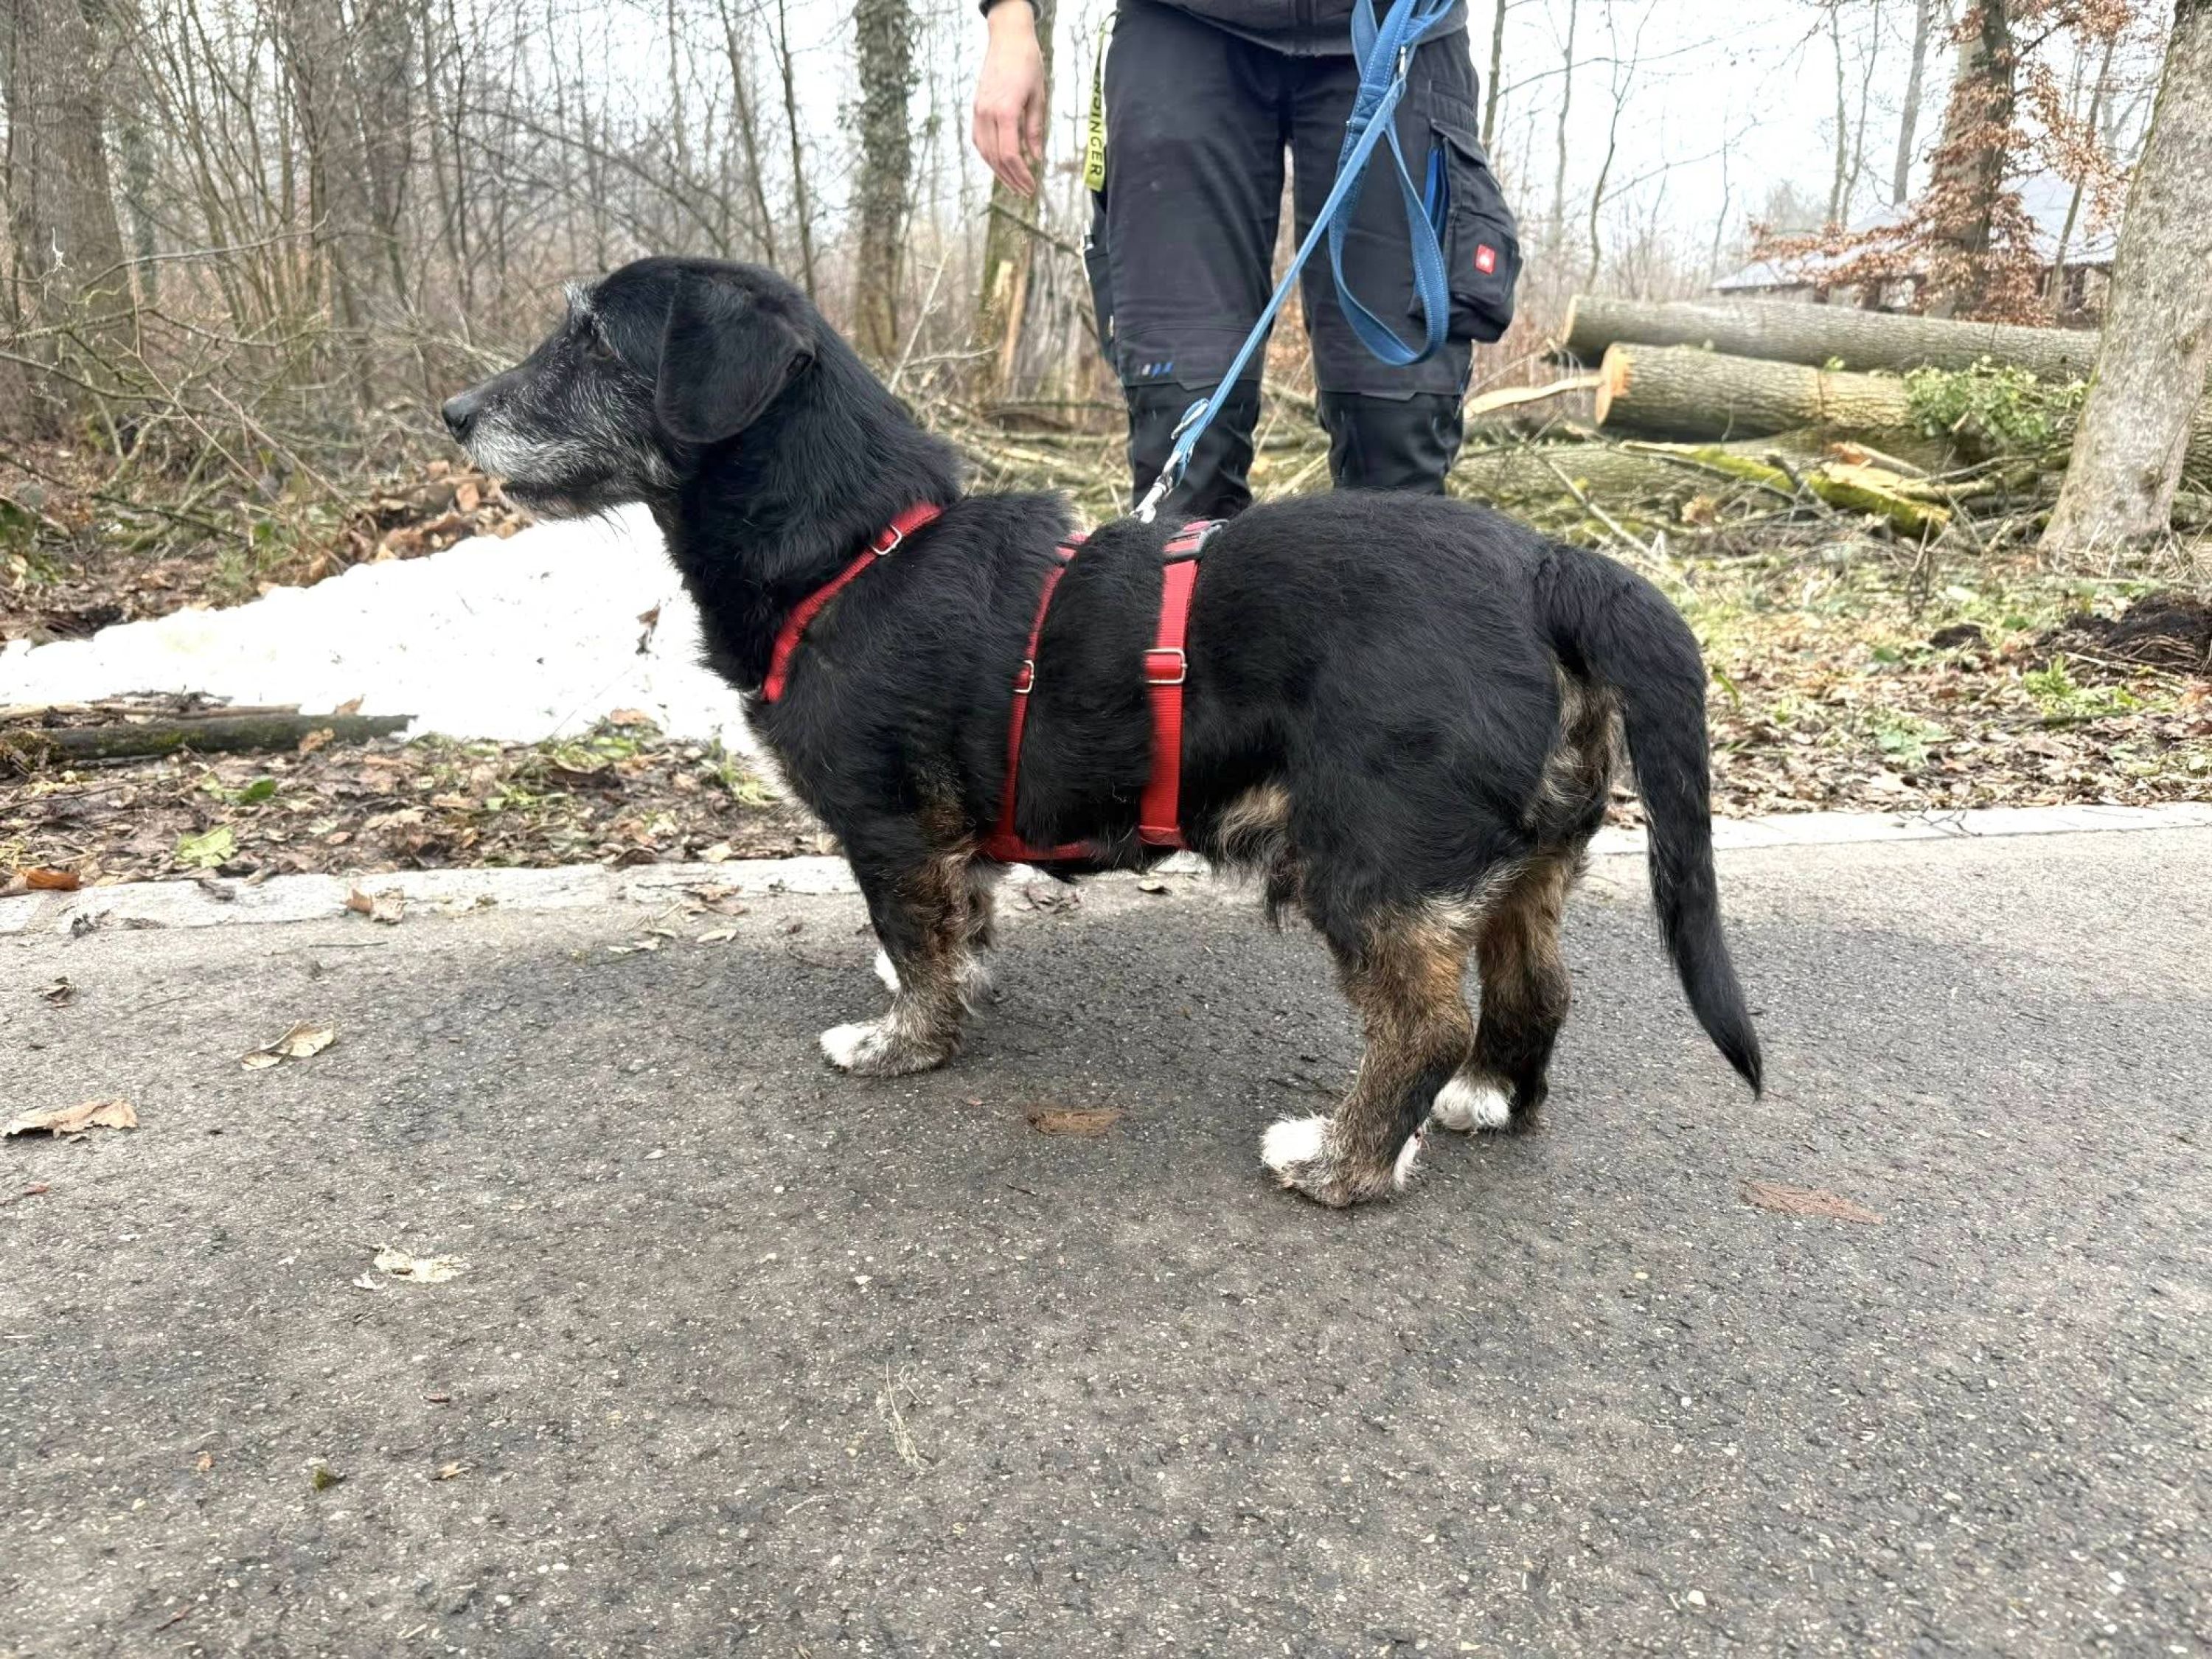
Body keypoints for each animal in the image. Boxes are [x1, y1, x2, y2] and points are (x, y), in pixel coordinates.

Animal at [441, 256, 1761, 1207]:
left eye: (592, 338)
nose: (454, 412)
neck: (858, 546)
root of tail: (1552, 565)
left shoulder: (886, 824)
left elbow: (914, 944)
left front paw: (902, 1041)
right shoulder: (946, 840)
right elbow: (957, 925)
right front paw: (952, 984)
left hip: (1373, 868)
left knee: (1424, 1021)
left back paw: (1343, 1162)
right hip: (1528, 867)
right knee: (1535, 992)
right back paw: (1486, 1097)